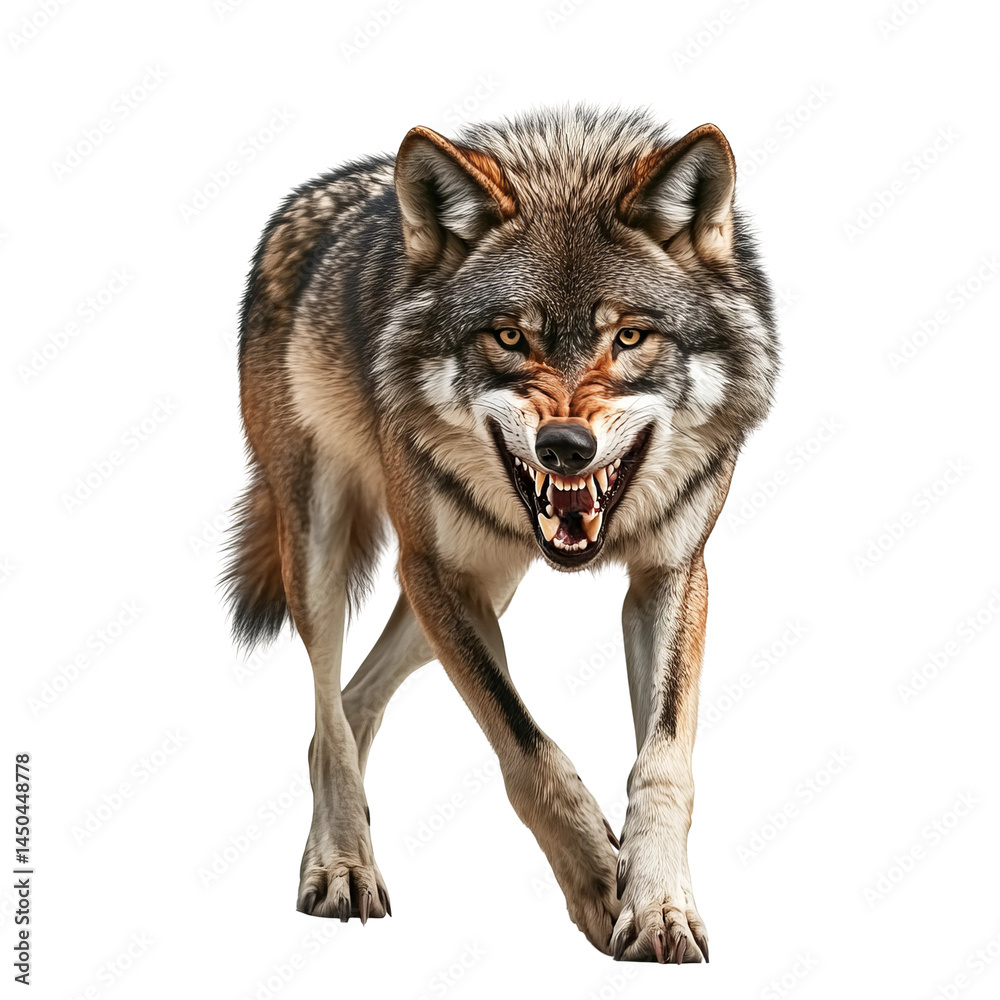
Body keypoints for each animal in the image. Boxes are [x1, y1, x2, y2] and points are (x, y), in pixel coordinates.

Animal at [224, 105, 778, 963]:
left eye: (629, 338)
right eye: (510, 337)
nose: (565, 448)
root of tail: (314, 194)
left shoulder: (672, 573)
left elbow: (664, 760)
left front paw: (657, 906)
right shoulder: (433, 572)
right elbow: (526, 744)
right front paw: (597, 880)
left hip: (487, 589)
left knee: (345, 709)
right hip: (325, 553)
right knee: (326, 700)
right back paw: (343, 865)